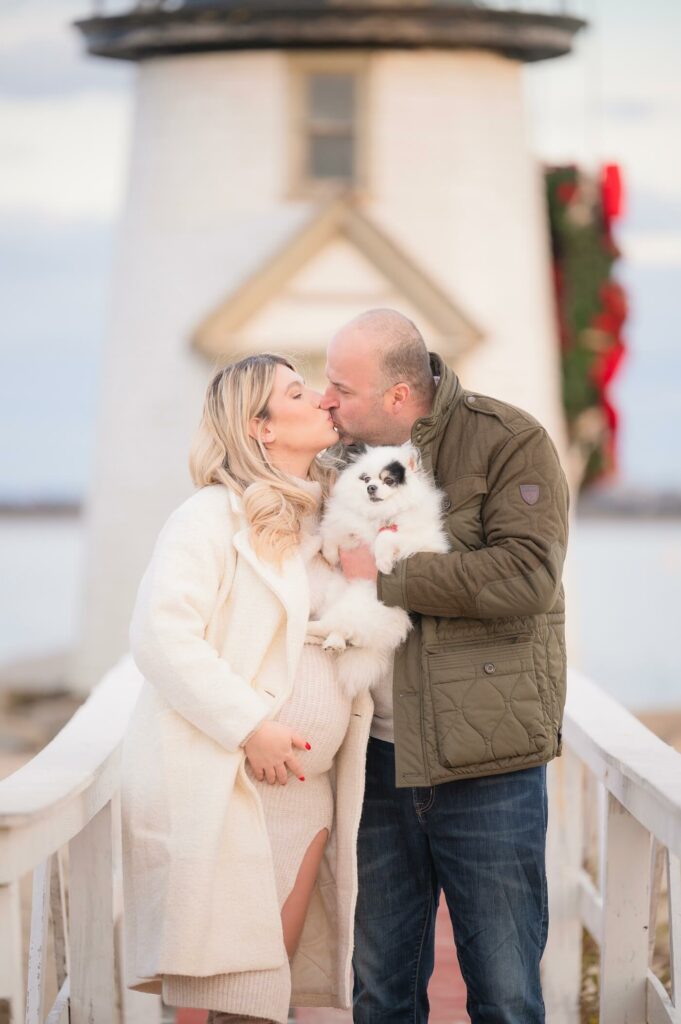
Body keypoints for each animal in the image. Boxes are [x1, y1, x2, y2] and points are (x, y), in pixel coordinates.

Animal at [303, 440, 450, 696]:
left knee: (344, 628)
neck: (377, 515)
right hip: (337, 595)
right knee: (337, 629)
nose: (371, 487)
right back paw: (327, 640)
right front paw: (331, 555)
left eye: (388, 480)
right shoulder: (345, 523)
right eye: (365, 478)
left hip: (362, 606)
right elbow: (332, 535)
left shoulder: (419, 539)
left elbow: (385, 538)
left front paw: (383, 563)